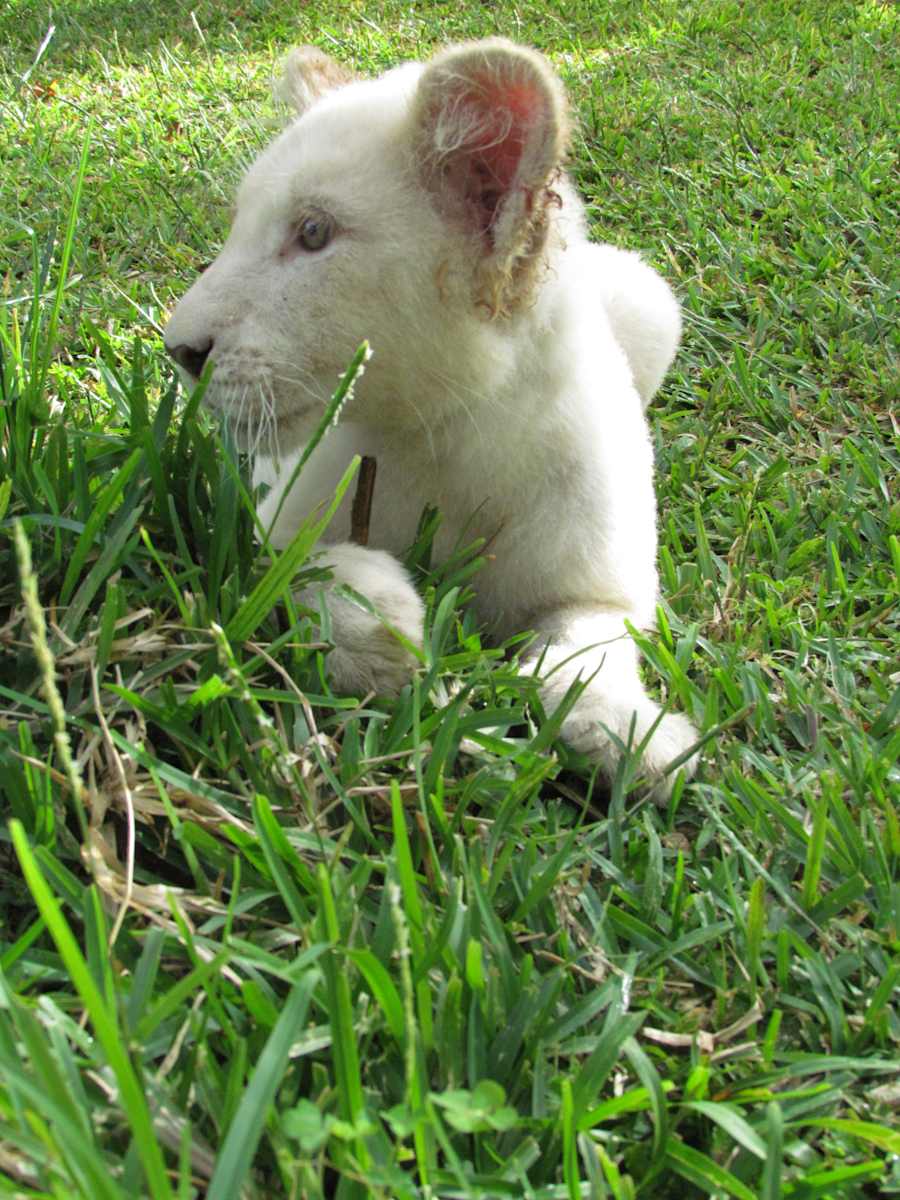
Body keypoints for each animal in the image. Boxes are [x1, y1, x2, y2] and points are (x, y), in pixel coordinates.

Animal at [164, 38, 699, 794]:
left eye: (313, 232)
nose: (179, 350)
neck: (445, 430)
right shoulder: (266, 527)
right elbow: (310, 567)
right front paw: (383, 637)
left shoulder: (601, 590)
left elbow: (583, 658)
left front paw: (631, 734)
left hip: (652, 303)